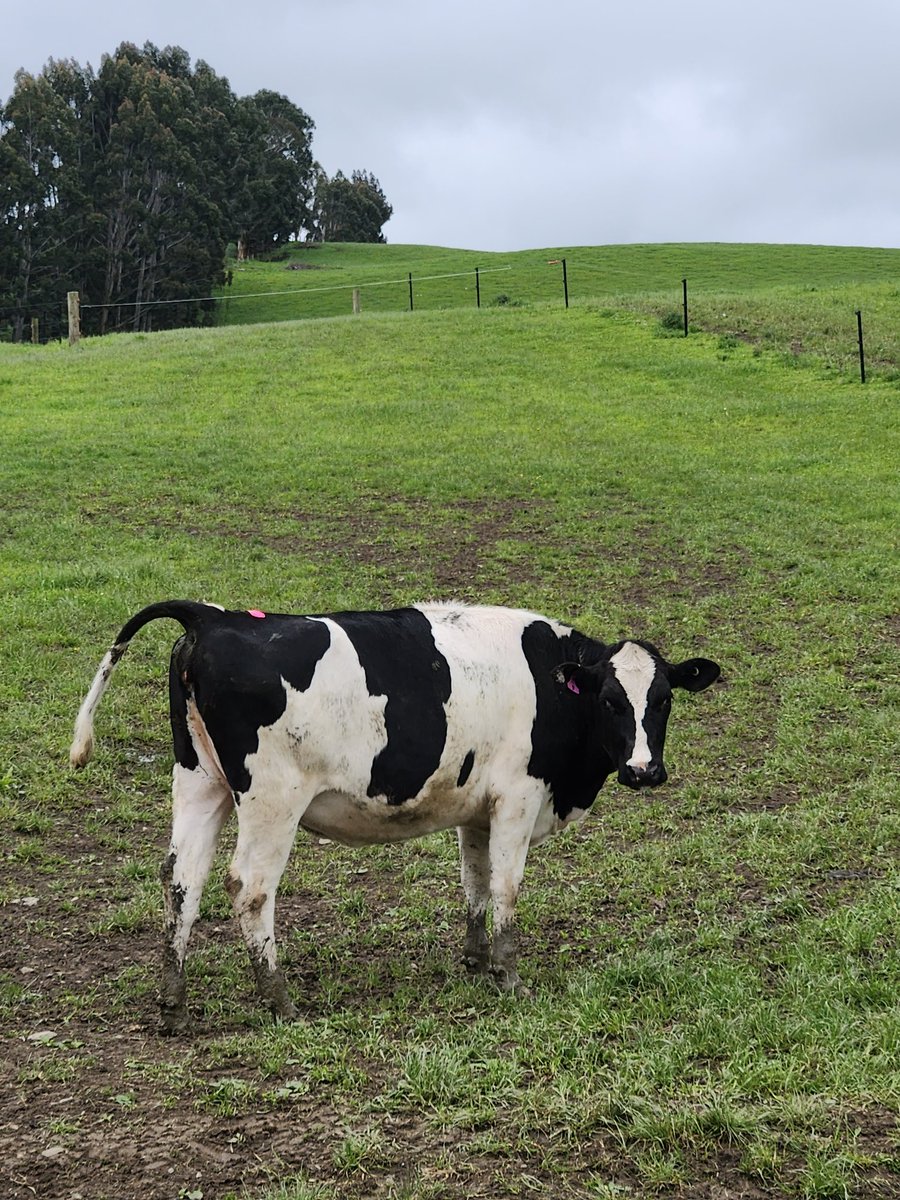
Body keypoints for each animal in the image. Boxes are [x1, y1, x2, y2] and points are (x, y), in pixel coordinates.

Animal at [70, 600, 720, 1032]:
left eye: (663, 700)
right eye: (611, 701)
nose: (644, 770)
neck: (552, 684)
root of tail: (212, 616)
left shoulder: (474, 809)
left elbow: (475, 884)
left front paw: (475, 962)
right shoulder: (517, 798)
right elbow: (506, 889)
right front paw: (509, 977)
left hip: (201, 781)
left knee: (181, 880)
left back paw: (174, 1005)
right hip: (271, 797)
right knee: (248, 887)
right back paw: (279, 1002)